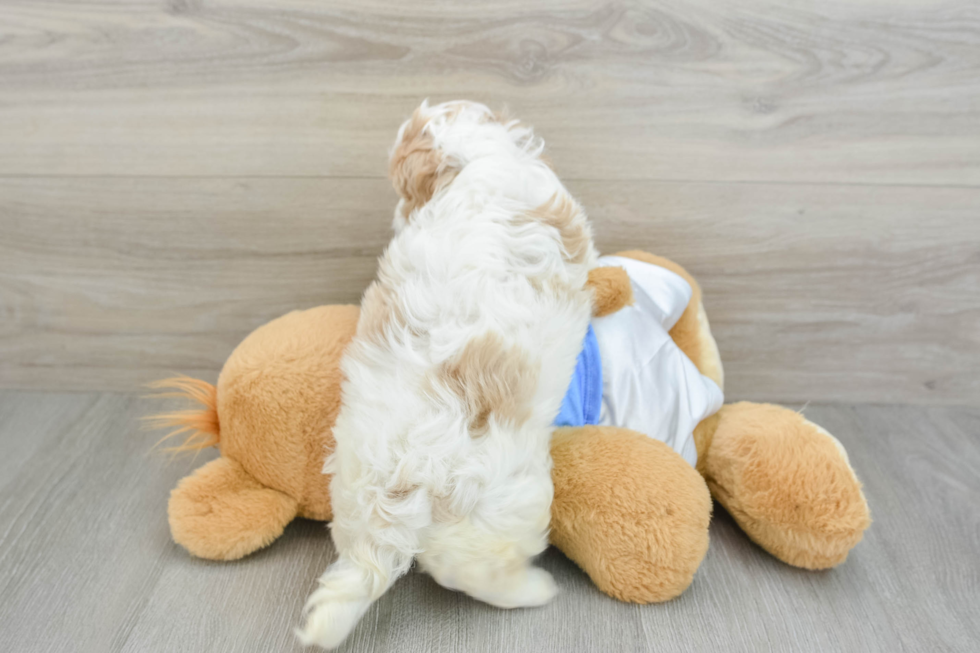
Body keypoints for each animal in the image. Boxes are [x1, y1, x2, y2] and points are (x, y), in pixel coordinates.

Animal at [298, 102, 592, 648]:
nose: (399, 211)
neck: (475, 157)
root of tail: (412, 472)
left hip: (355, 489)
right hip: (510, 504)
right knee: (480, 573)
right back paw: (536, 590)